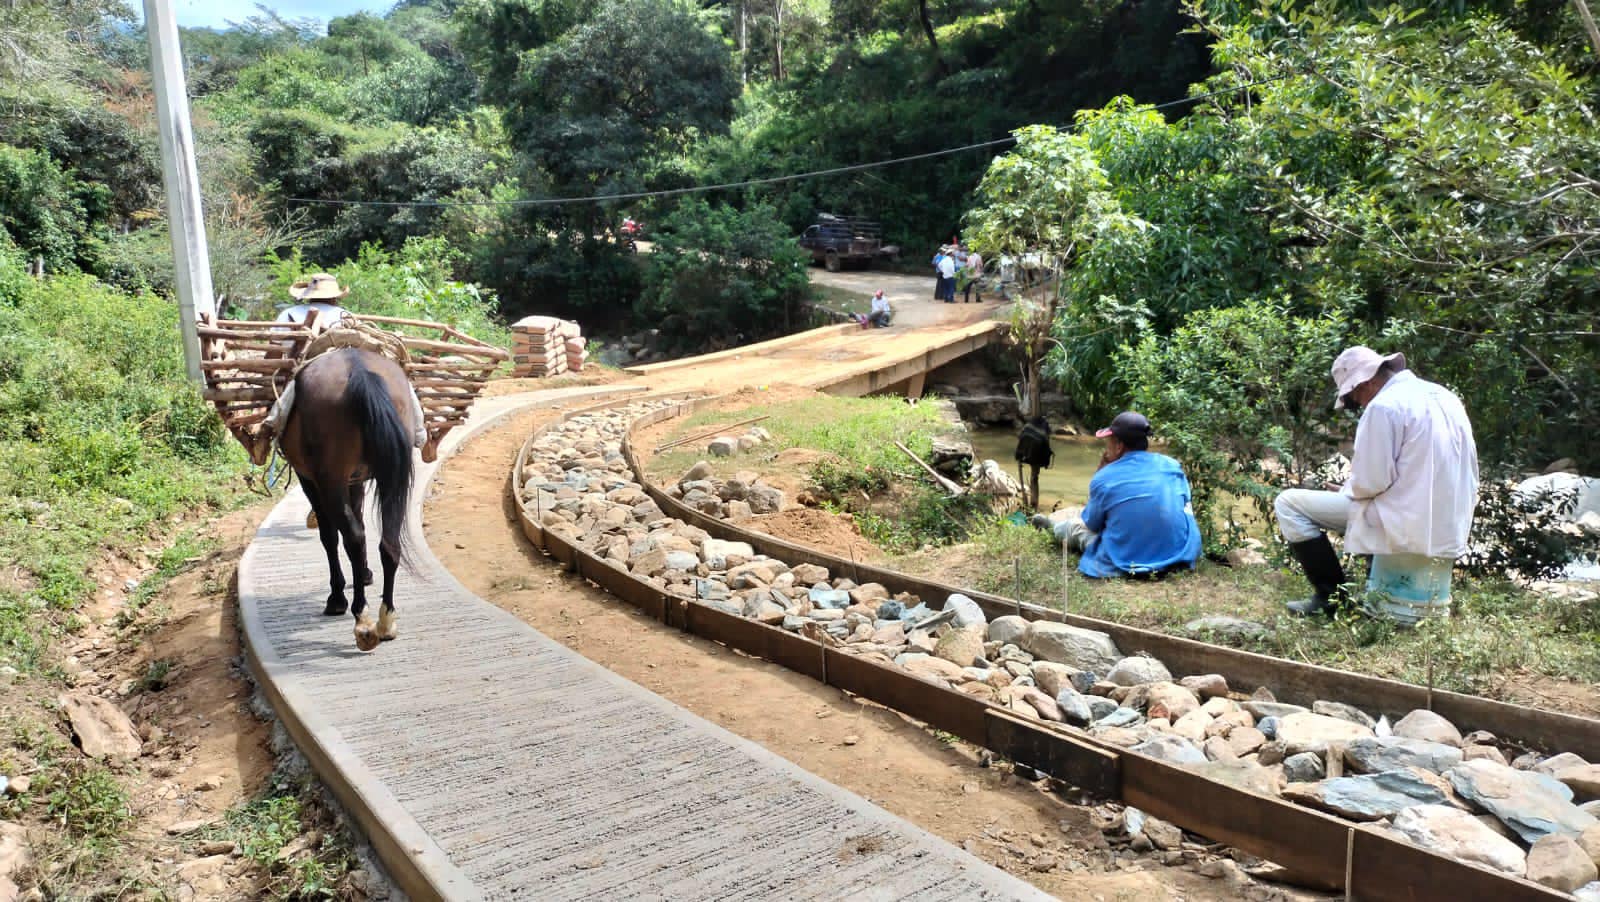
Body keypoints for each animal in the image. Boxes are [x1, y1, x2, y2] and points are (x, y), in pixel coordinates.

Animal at [281, 348, 419, 652]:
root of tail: (359, 371)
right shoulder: (356, 479)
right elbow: (359, 519)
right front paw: (365, 574)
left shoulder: (311, 480)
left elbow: (330, 536)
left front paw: (336, 597)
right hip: (392, 475)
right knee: (388, 542)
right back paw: (386, 620)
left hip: (330, 478)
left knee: (352, 538)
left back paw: (362, 620)